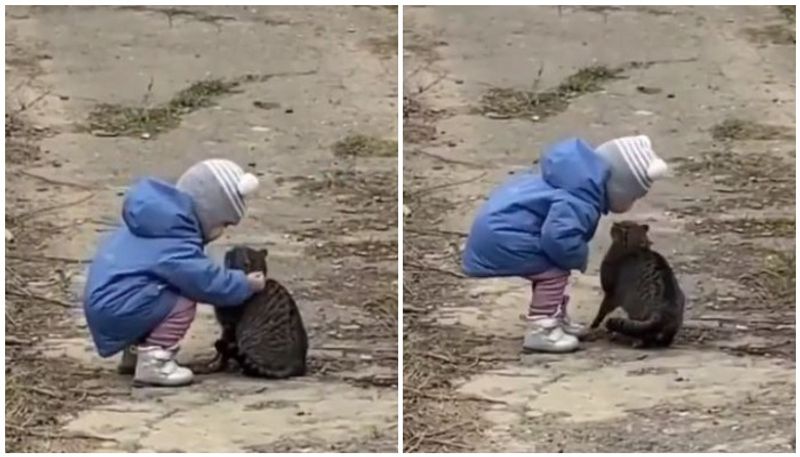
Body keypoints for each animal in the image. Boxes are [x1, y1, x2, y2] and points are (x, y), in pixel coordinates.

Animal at [197, 246, 310, 378]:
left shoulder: (229, 326)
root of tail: (296, 364)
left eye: (233, 253)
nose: (231, 248)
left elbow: (222, 355)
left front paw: (214, 365)